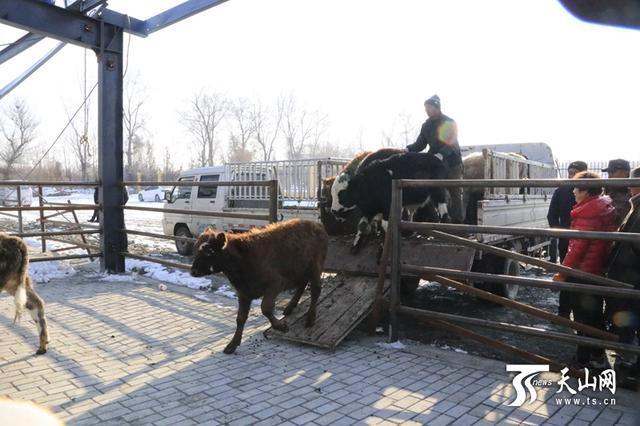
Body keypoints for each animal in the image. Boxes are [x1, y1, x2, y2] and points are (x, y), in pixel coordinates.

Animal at [189, 218, 330, 354]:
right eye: (195, 249)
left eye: (209, 251)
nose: (193, 271)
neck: (245, 258)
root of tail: (317, 225)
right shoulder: (243, 294)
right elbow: (240, 318)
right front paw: (232, 345)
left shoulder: (275, 284)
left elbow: (265, 308)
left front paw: (282, 327)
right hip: (301, 271)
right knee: (302, 285)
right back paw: (290, 307)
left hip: (315, 269)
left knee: (316, 290)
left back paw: (310, 318)